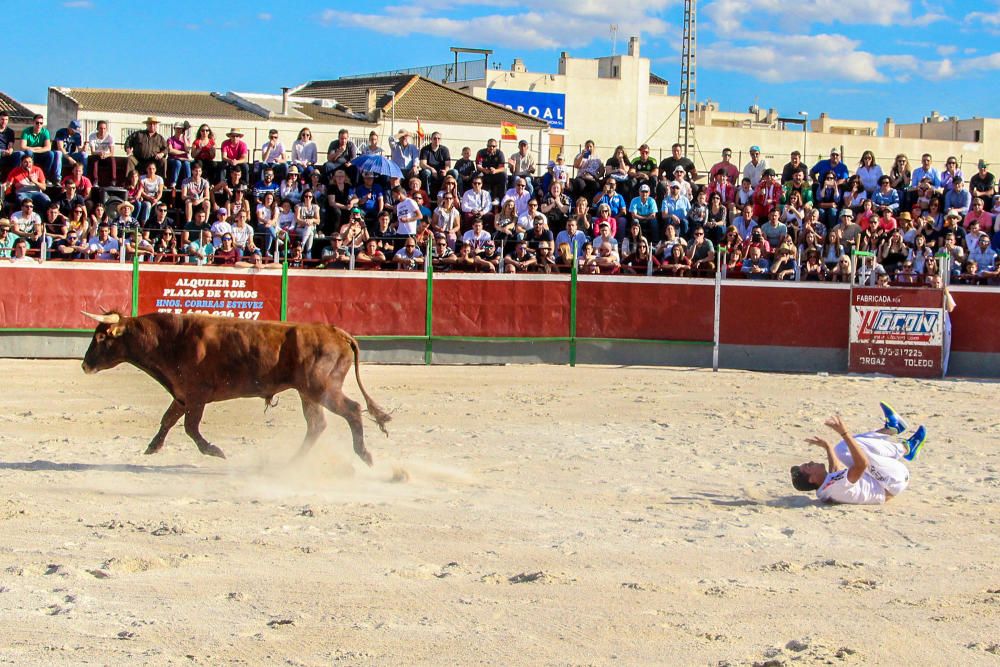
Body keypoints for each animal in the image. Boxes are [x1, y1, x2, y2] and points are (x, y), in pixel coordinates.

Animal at [80, 312, 390, 464]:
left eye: (101, 337)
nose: (84, 365)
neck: (170, 339)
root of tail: (335, 332)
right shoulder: (182, 395)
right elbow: (168, 420)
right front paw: (152, 447)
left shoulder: (196, 396)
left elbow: (190, 428)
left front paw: (215, 451)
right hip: (308, 393)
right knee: (317, 425)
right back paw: (292, 462)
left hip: (322, 388)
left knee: (352, 410)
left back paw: (365, 455)